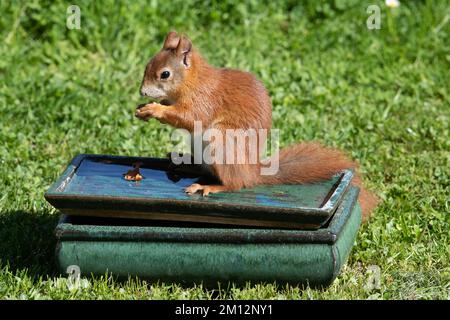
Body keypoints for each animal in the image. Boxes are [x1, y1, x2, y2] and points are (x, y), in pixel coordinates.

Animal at [135, 31, 378, 219]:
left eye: (165, 74)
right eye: (146, 66)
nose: (143, 92)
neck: (193, 81)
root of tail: (253, 173)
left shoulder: (204, 100)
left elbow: (189, 117)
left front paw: (154, 109)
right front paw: (144, 107)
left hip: (221, 140)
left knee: (236, 184)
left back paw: (209, 186)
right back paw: (186, 164)